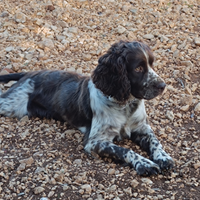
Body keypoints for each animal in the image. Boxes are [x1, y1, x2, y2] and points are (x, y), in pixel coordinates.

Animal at [0, 41, 173, 176]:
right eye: (138, 68)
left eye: (152, 64)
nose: (162, 86)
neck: (125, 105)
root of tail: (31, 73)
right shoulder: (95, 141)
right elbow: (125, 150)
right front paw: (145, 163)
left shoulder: (142, 127)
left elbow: (155, 140)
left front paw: (163, 157)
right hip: (12, 105)